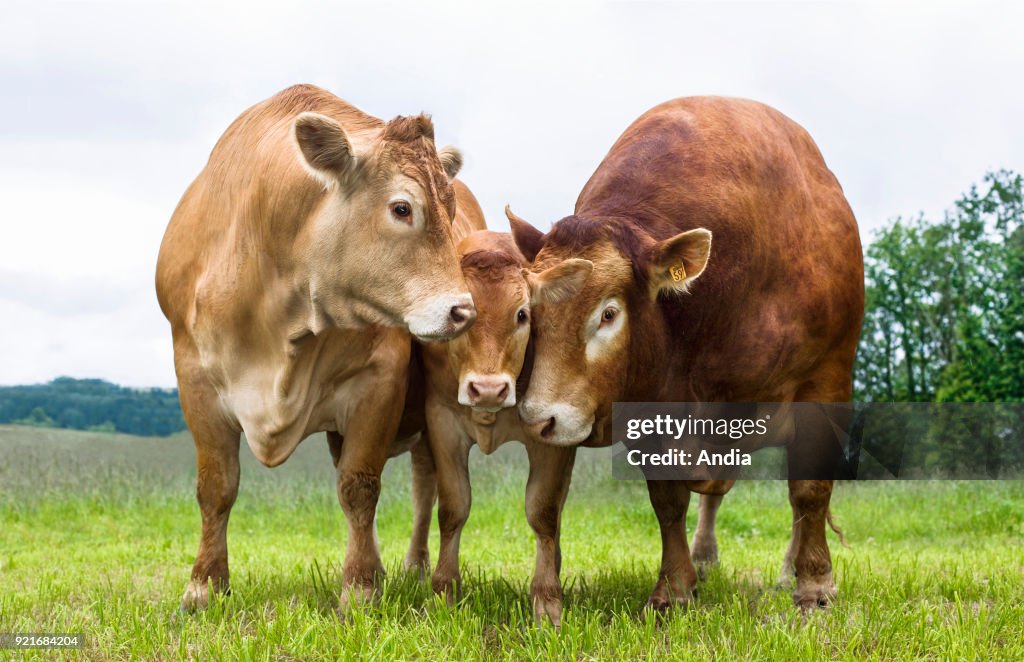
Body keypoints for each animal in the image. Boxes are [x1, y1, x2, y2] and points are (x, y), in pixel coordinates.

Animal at [155, 85, 475, 614]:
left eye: (450, 214)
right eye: (402, 208)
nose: (463, 311)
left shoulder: (379, 380)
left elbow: (359, 486)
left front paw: (360, 588)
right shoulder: (194, 376)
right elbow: (216, 486)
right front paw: (204, 585)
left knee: (424, 485)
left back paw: (413, 566)